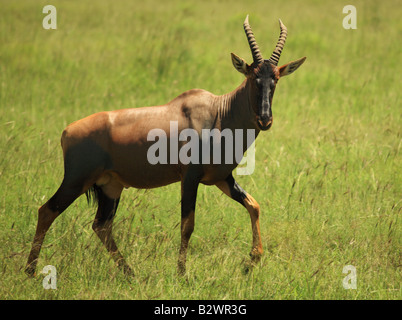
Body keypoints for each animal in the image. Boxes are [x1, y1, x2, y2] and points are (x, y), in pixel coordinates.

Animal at [25, 15, 304, 276]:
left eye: (275, 79)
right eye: (252, 77)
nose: (265, 119)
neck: (218, 113)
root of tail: (67, 131)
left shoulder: (221, 178)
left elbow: (254, 205)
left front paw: (252, 261)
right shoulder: (190, 178)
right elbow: (187, 225)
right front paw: (182, 274)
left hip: (110, 187)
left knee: (101, 226)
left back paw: (131, 275)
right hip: (76, 181)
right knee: (46, 211)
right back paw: (30, 272)